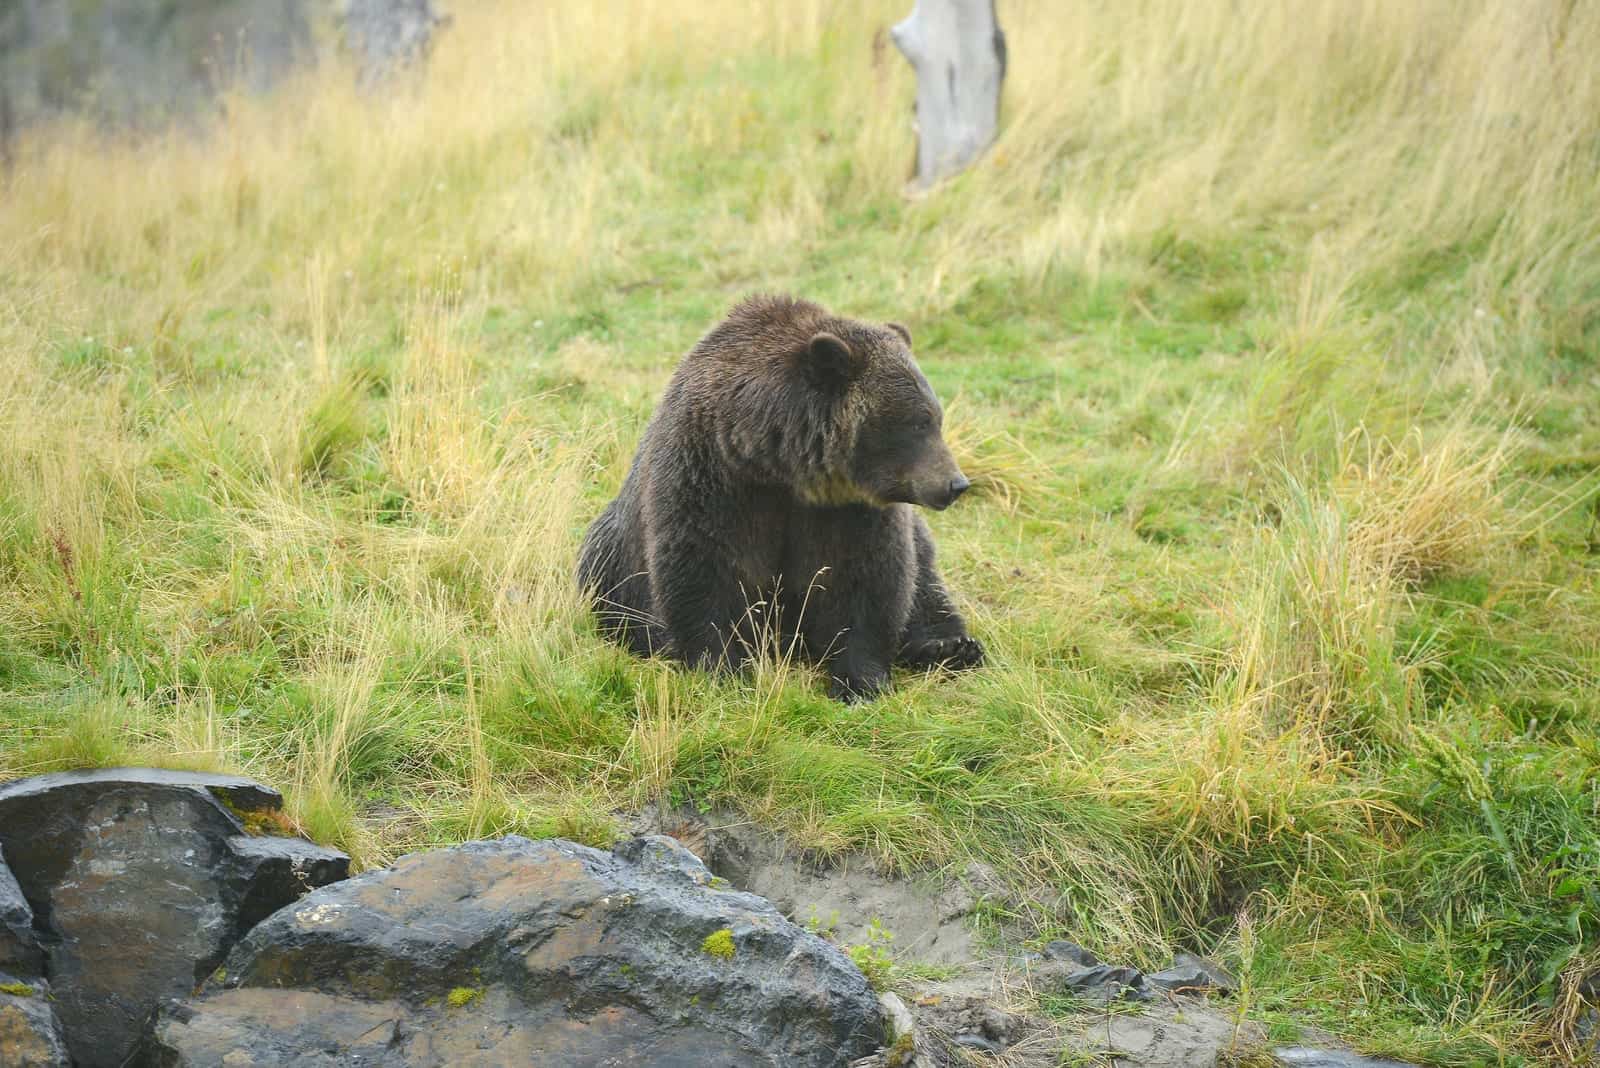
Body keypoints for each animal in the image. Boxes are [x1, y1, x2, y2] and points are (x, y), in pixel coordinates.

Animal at [576, 292, 972, 700]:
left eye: (935, 417)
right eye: (918, 422)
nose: (955, 484)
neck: (778, 463)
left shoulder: (847, 511)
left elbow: (865, 579)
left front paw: (860, 682)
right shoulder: (713, 482)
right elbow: (707, 574)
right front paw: (723, 668)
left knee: (925, 577)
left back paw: (949, 645)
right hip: (609, 559)